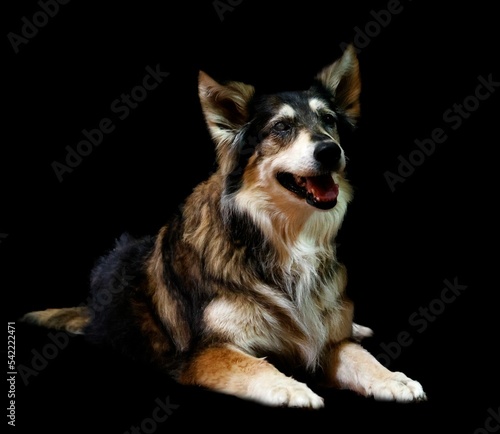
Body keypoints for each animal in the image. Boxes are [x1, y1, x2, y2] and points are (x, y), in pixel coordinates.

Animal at [20, 45, 426, 408]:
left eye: (328, 121)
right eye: (282, 127)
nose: (330, 151)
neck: (282, 239)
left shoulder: (327, 341)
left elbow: (360, 356)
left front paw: (393, 378)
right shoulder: (203, 351)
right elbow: (254, 365)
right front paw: (292, 389)